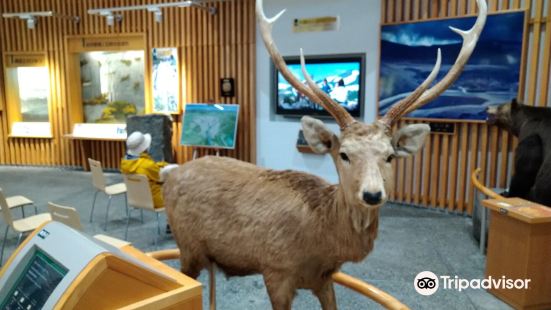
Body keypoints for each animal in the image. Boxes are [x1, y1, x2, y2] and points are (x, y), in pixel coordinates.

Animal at [165, 1, 488, 308]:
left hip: (209, 257)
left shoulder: (324, 278)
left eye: (390, 156)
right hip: (187, 247)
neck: (321, 242)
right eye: (343, 154)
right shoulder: (276, 270)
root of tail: (171, 172)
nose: (372, 194)